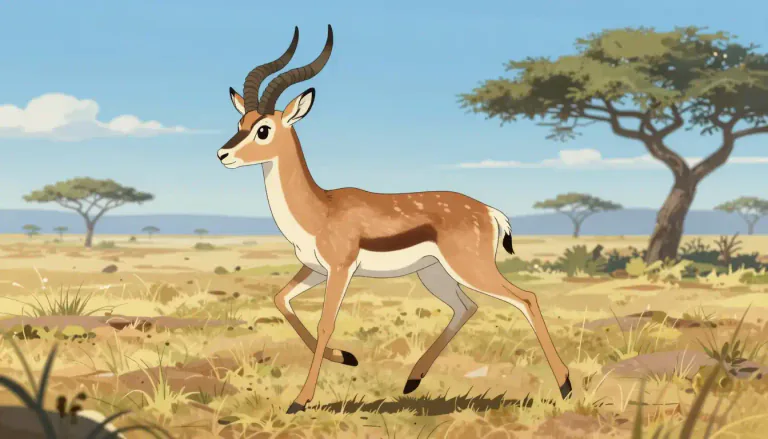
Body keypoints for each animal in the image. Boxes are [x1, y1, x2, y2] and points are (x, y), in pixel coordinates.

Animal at [217, 25, 572, 414]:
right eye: (240, 122)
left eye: (263, 129)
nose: (223, 154)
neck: (320, 208)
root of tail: (489, 211)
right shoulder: (315, 269)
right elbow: (281, 299)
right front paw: (347, 357)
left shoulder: (340, 269)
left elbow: (326, 322)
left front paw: (300, 400)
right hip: (434, 273)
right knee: (467, 307)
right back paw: (412, 380)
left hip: (470, 269)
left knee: (526, 299)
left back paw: (566, 385)